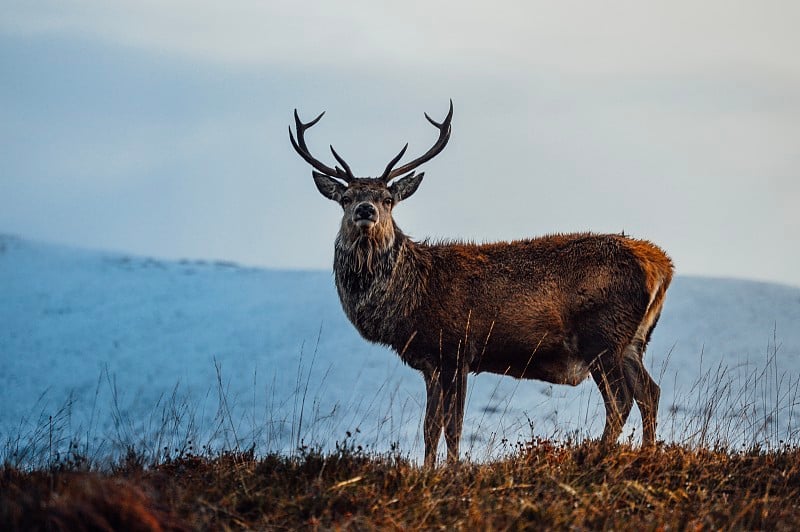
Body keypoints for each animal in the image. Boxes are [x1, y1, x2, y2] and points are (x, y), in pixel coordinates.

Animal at [290, 103, 672, 466]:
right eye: (346, 198)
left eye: (389, 199)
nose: (365, 210)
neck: (411, 298)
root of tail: (662, 266)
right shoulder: (432, 362)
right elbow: (430, 426)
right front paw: (429, 469)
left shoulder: (456, 349)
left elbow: (452, 425)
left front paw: (451, 470)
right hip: (633, 341)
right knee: (649, 392)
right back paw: (647, 453)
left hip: (602, 337)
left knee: (621, 400)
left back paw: (597, 454)